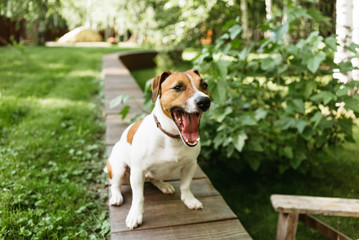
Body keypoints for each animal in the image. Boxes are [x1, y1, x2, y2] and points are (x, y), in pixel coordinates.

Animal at [105, 69, 212, 229]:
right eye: (178, 87)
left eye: (204, 85)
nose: (204, 101)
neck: (171, 137)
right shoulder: (137, 172)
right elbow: (138, 197)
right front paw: (135, 215)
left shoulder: (190, 164)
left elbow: (185, 186)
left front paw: (189, 200)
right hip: (118, 168)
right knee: (115, 185)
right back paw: (116, 196)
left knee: (154, 179)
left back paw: (163, 185)